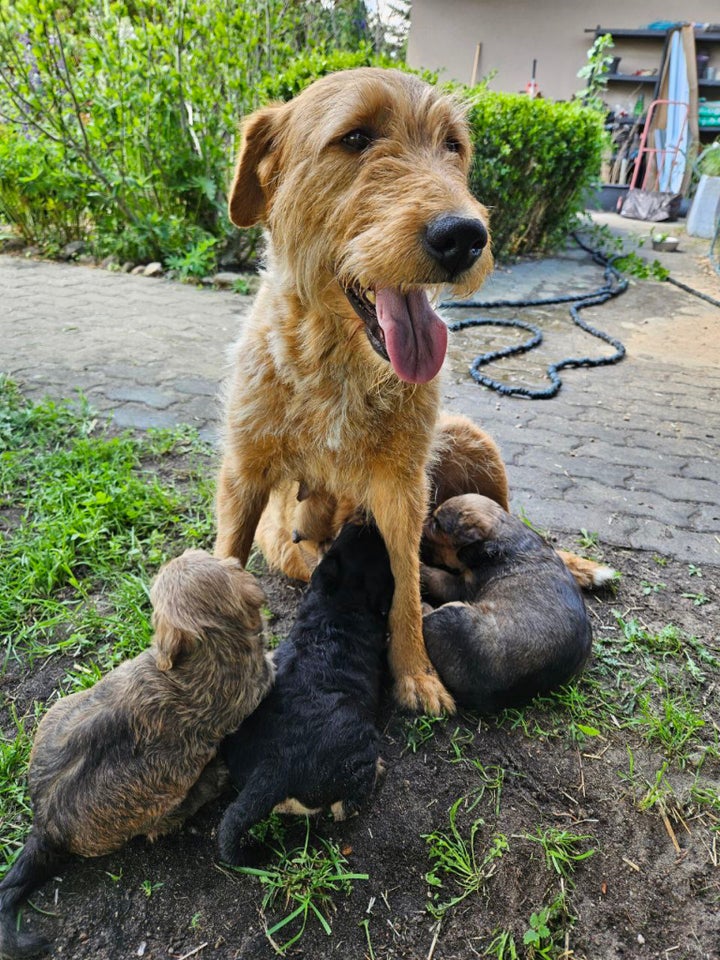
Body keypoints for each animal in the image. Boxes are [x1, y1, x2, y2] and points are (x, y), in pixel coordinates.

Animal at [0, 552, 274, 956]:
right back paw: (212, 780)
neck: (211, 645)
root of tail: (44, 829)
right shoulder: (258, 681)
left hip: (56, 710)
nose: (178, 555)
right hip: (161, 806)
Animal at [215, 67, 496, 712]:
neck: (337, 365)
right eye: (355, 138)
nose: (464, 235)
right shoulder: (244, 471)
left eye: (453, 145)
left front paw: (416, 672)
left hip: (470, 441)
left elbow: (408, 589)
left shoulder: (403, 488)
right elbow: (221, 561)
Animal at [218, 520, 394, 868]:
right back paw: (376, 773)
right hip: (357, 749)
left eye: (342, 540)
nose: (364, 522)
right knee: (343, 805)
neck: (335, 607)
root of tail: (272, 767)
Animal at [420, 496, 592, 712]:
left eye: (436, 524)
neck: (502, 531)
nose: (420, 524)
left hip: (452, 614)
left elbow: (438, 578)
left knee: (427, 619)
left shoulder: (462, 586)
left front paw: (421, 568)